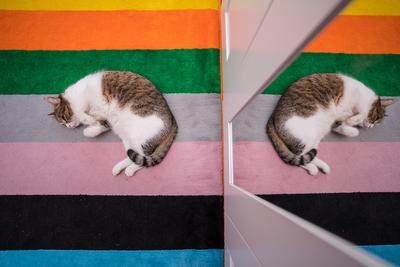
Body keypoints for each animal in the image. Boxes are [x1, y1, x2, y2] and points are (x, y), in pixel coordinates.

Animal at [45, 70, 177, 178]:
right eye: (63, 125)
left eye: (65, 119)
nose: (69, 126)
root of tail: (172, 119)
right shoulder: (106, 119)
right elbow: (101, 125)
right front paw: (90, 129)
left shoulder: (87, 97)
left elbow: (81, 113)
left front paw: (88, 120)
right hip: (127, 137)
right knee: (134, 156)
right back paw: (118, 168)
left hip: (139, 136)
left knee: (143, 158)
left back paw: (130, 170)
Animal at [268, 74, 396, 177]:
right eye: (376, 119)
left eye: (376, 123)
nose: (370, 127)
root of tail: (273, 116)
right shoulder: (358, 96)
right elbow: (362, 112)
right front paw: (353, 122)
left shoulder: (337, 121)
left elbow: (342, 127)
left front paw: (351, 128)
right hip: (306, 134)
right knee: (299, 155)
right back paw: (315, 168)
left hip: (315, 136)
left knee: (303, 156)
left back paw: (321, 168)